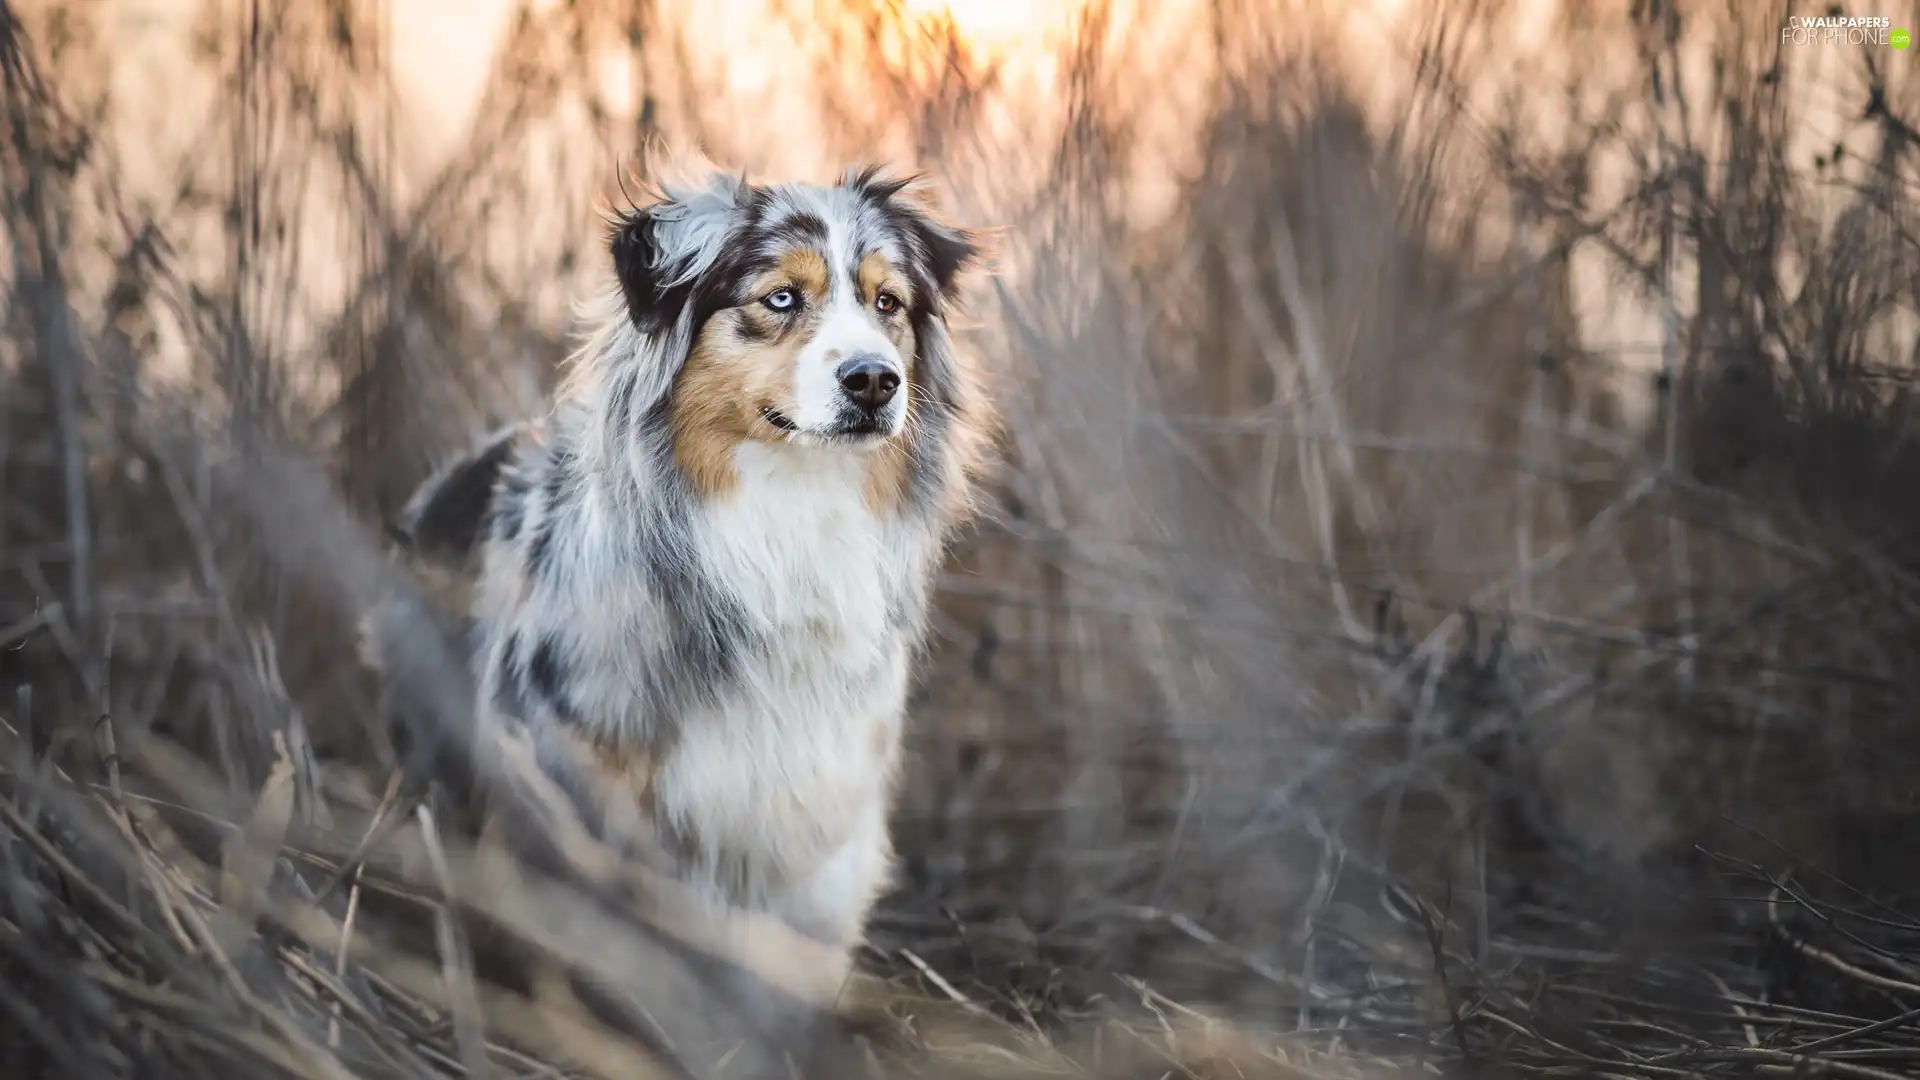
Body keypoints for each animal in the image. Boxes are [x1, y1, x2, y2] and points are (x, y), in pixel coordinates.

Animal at [384, 155, 998, 991]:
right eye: (781, 297)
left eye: (887, 303)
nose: (874, 380)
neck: (786, 515)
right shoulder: (576, 776)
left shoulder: (814, 825)